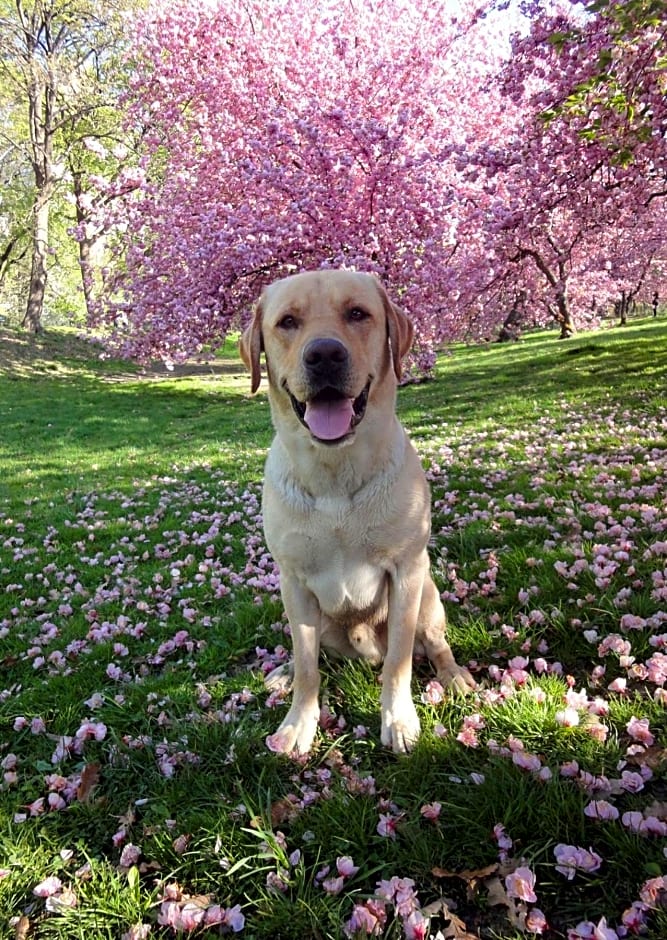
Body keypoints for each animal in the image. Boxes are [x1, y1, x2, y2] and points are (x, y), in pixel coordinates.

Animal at [240, 268, 474, 752]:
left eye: (357, 314)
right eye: (287, 322)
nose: (325, 354)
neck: (335, 476)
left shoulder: (406, 572)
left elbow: (399, 661)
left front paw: (398, 719)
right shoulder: (294, 582)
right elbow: (308, 666)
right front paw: (299, 722)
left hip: (429, 596)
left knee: (434, 644)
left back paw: (454, 675)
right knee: (308, 652)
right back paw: (282, 672)